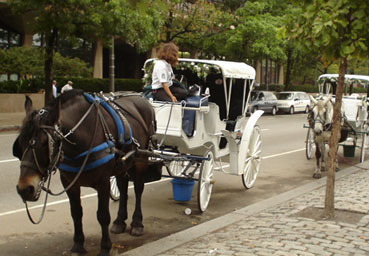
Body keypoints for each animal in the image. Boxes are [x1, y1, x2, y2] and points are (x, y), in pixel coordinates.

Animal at [12, 89, 156, 255]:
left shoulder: (103, 181)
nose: (24, 188)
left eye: (43, 143)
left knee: (138, 189)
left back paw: (137, 223)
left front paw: (105, 247)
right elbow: (76, 213)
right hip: (123, 162)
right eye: (20, 144)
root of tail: (141, 97)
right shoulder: (69, 182)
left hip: (140, 159)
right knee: (123, 187)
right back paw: (120, 221)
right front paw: (78, 245)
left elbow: (103, 215)